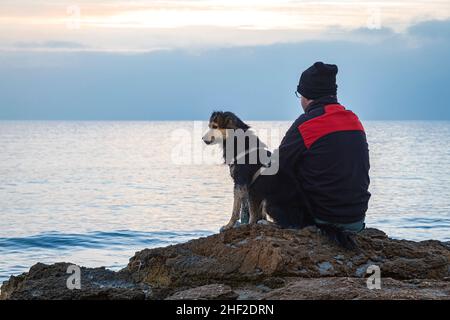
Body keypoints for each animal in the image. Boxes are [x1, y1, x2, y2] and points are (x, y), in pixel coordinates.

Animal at [202, 110, 356, 250]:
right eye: (210, 126)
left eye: (215, 126)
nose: (203, 139)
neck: (236, 140)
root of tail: (309, 218)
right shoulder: (248, 188)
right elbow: (247, 209)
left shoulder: (243, 184)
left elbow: (239, 209)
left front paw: (231, 226)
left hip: (270, 202)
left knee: (290, 225)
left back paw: (267, 224)